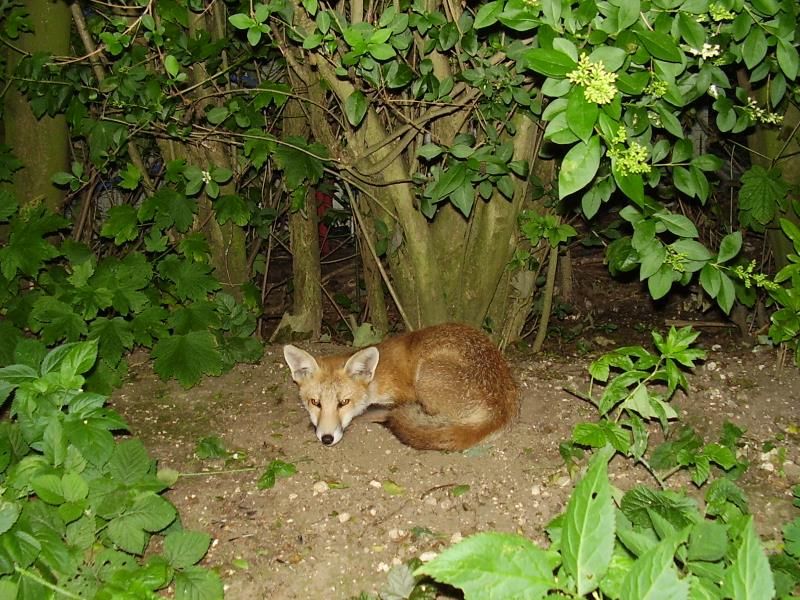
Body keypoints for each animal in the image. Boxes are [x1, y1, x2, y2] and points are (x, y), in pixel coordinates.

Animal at [282, 323, 518, 451]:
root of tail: (500, 410)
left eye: (344, 402)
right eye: (315, 402)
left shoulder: (405, 394)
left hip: (425, 377)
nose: (326, 439)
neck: (377, 377)